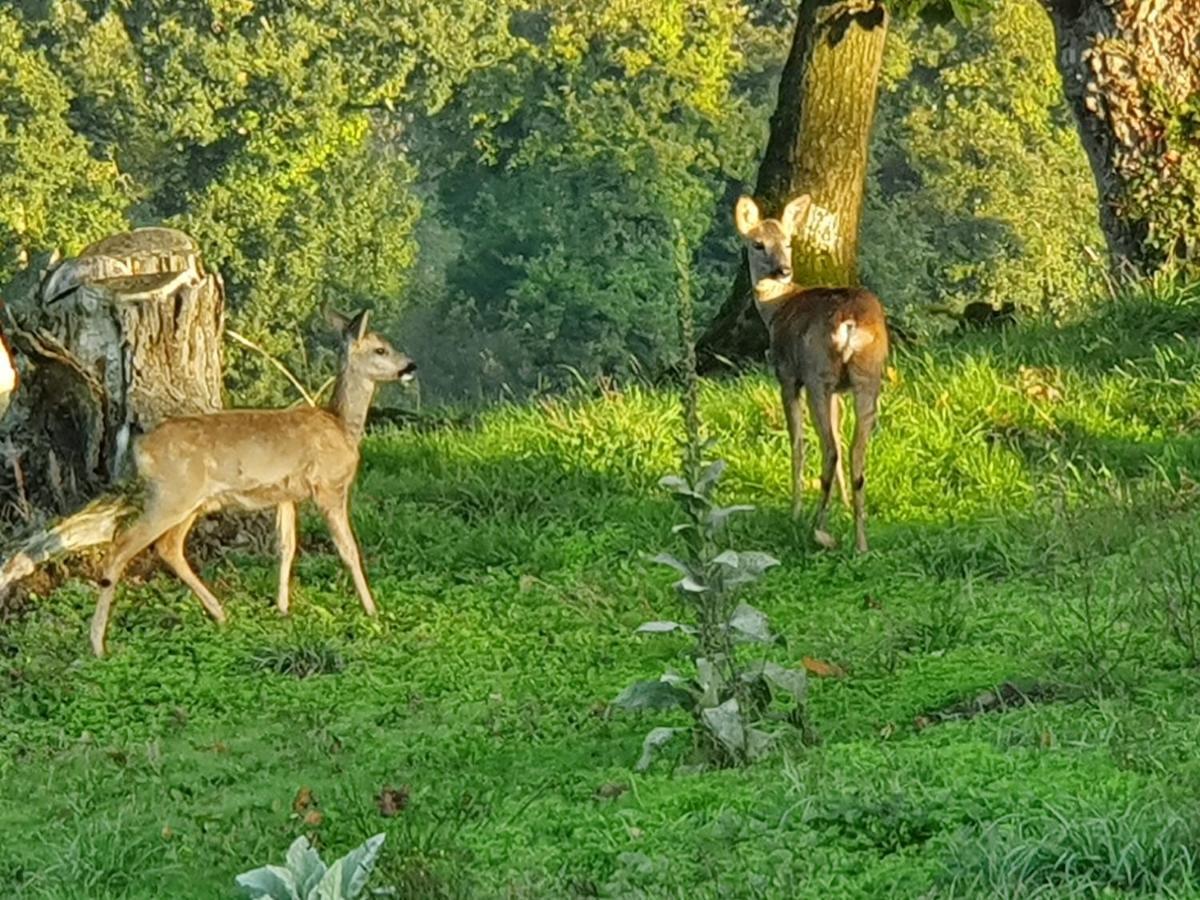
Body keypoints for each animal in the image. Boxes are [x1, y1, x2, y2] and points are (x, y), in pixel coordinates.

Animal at [83, 309, 412, 657]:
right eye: (381, 349)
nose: (410, 366)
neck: (342, 427)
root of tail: (140, 446)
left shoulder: (286, 495)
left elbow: (286, 547)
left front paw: (283, 609)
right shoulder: (329, 486)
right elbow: (348, 549)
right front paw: (371, 610)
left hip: (188, 501)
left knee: (168, 547)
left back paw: (219, 613)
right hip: (171, 495)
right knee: (119, 549)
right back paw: (98, 645)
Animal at [729, 194, 892, 554]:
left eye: (788, 242)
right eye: (758, 244)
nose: (783, 270)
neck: (775, 310)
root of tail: (849, 322)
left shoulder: (787, 375)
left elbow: (797, 441)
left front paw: (795, 508)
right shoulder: (838, 391)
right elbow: (839, 430)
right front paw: (842, 504)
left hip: (818, 374)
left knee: (829, 449)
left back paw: (816, 527)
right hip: (867, 376)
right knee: (854, 452)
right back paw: (861, 542)